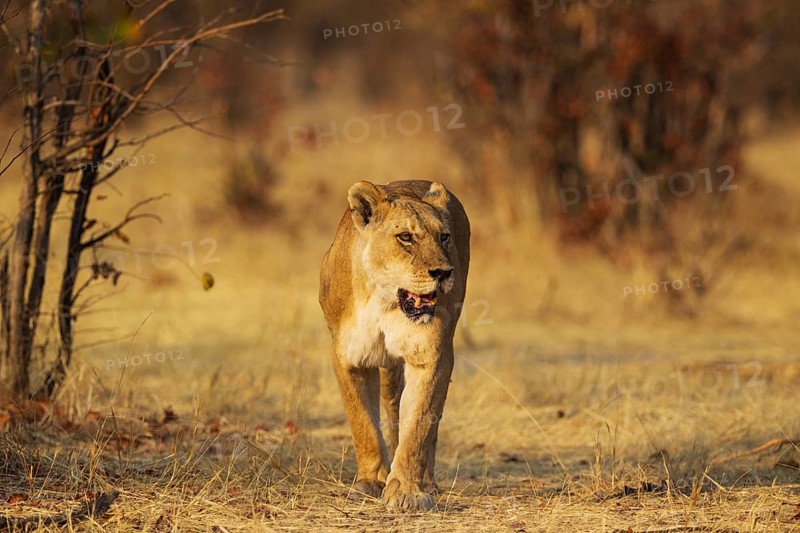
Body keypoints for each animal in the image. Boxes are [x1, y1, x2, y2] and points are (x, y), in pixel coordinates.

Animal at [319, 179, 470, 511]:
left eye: (444, 237)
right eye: (405, 237)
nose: (443, 273)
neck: (384, 299)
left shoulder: (431, 357)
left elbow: (418, 426)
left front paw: (406, 491)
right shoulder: (347, 357)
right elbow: (363, 423)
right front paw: (371, 481)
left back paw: (427, 481)